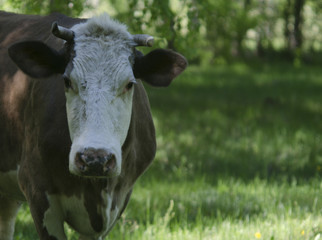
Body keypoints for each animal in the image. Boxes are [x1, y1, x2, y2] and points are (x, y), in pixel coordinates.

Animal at [0, 11, 187, 240]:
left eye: (129, 84)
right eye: (67, 81)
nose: (95, 159)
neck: (96, 190)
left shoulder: (119, 200)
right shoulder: (37, 190)